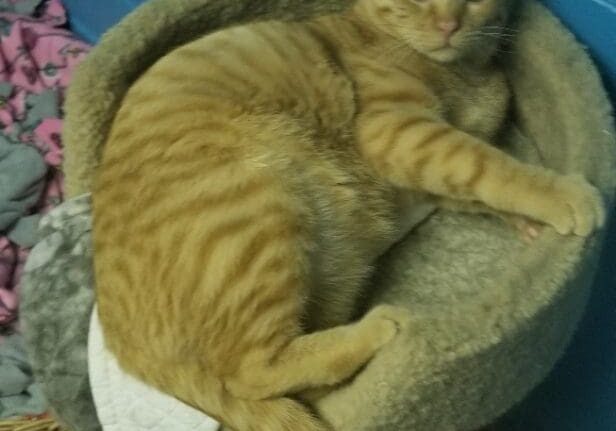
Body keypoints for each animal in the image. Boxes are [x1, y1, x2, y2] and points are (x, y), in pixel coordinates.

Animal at [94, 1, 604, 430]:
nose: (448, 24)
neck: (466, 73)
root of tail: (125, 346)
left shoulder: (430, 179)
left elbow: (482, 181)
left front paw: (530, 220)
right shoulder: (403, 134)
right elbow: (491, 167)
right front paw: (563, 193)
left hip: (332, 271)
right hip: (260, 214)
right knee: (252, 371)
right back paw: (377, 330)